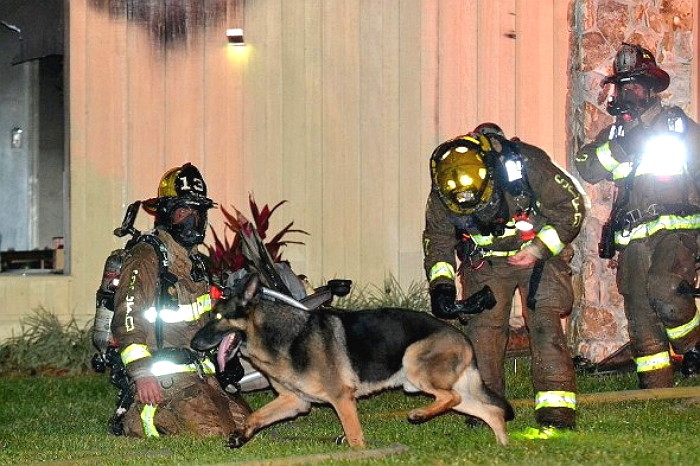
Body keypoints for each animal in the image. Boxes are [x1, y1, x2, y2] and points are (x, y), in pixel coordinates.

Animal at [191, 274, 516, 448]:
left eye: (218, 317)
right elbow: (256, 416)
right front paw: (240, 435)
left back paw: (419, 415)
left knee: (450, 398)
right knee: (490, 411)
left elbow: (355, 436)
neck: (280, 336)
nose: (192, 345)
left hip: (414, 365)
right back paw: (503, 448)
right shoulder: (296, 402)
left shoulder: (341, 398)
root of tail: (462, 336)